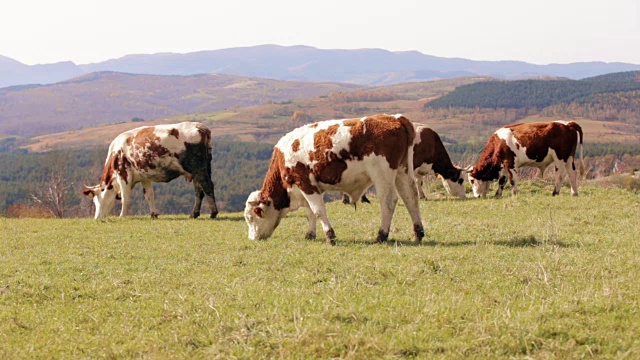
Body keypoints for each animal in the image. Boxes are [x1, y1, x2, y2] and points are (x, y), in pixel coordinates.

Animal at [82, 121, 219, 219]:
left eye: (97, 199)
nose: (97, 218)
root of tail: (201, 127)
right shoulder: (144, 177)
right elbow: (149, 195)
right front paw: (154, 214)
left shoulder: (123, 175)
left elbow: (126, 198)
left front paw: (122, 216)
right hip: (200, 169)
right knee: (199, 190)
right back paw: (194, 214)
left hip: (198, 168)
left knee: (206, 186)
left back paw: (213, 213)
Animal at [245, 114, 424, 246]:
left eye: (250, 218)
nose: (252, 239)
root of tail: (394, 118)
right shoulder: (309, 187)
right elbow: (310, 212)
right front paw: (310, 234)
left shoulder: (305, 182)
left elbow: (318, 211)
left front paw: (330, 237)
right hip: (402, 171)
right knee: (410, 198)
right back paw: (418, 233)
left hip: (382, 174)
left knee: (388, 201)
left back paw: (381, 235)